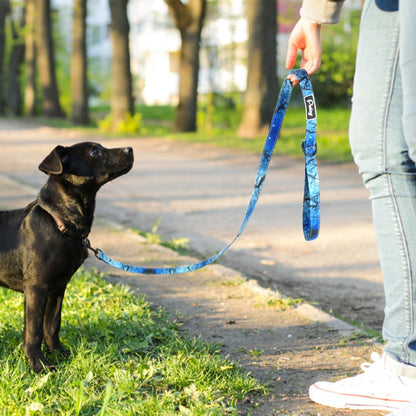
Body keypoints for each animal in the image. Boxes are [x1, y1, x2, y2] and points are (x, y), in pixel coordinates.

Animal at [0, 141, 133, 372]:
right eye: (94, 151)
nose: (130, 149)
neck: (60, 224)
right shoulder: (36, 288)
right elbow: (33, 331)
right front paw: (39, 366)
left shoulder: (58, 288)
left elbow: (52, 324)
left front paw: (59, 354)